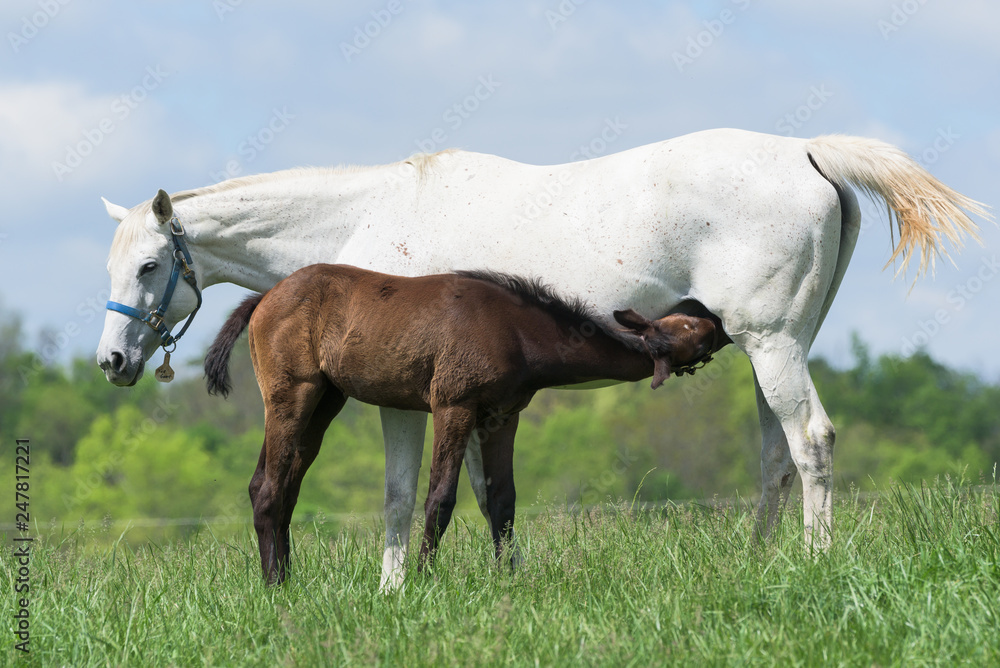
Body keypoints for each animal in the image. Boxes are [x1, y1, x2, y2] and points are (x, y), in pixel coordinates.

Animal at [201, 263, 721, 583]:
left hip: (325, 401)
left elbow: (502, 499)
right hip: (292, 395)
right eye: (693, 331)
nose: (716, 318)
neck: (517, 331)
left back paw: (289, 580)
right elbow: (441, 497)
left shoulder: (503, 414)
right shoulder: (453, 404)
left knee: (277, 485)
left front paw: (509, 579)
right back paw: (275, 586)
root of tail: (263, 297)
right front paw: (423, 581)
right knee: (269, 488)